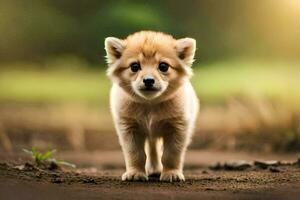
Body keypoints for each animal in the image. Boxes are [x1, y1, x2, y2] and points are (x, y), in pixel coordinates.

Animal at [104, 30, 198, 182]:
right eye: (134, 66)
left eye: (163, 66)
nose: (148, 80)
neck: (150, 104)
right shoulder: (129, 129)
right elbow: (135, 153)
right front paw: (135, 173)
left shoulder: (178, 128)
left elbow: (171, 154)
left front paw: (171, 173)